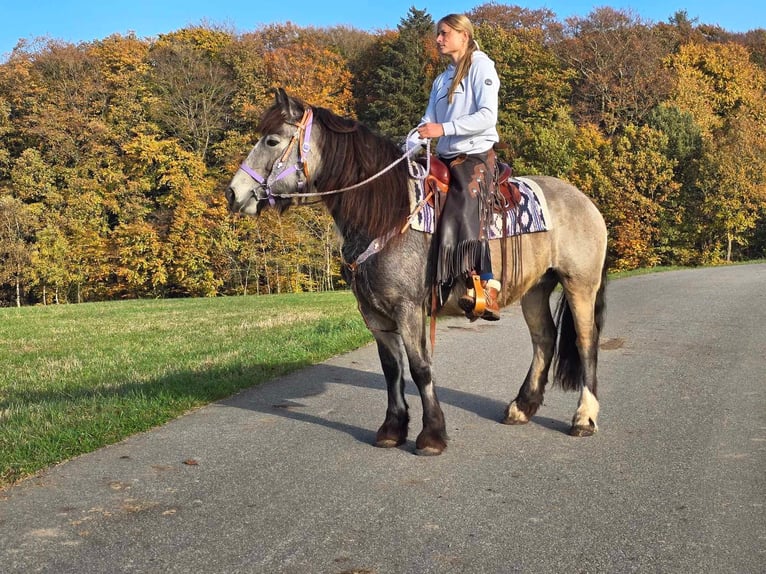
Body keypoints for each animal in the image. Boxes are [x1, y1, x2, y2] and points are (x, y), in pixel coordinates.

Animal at [225, 88, 608, 456]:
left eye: (272, 140)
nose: (233, 193)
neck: (386, 214)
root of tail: (585, 201)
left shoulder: (408, 308)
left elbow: (420, 367)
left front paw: (432, 435)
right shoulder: (374, 312)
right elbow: (392, 369)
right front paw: (393, 429)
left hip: (579, 284)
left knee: (585, 341)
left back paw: (584, 417)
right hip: (535, 288)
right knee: (544, 339)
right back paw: (521, 407)